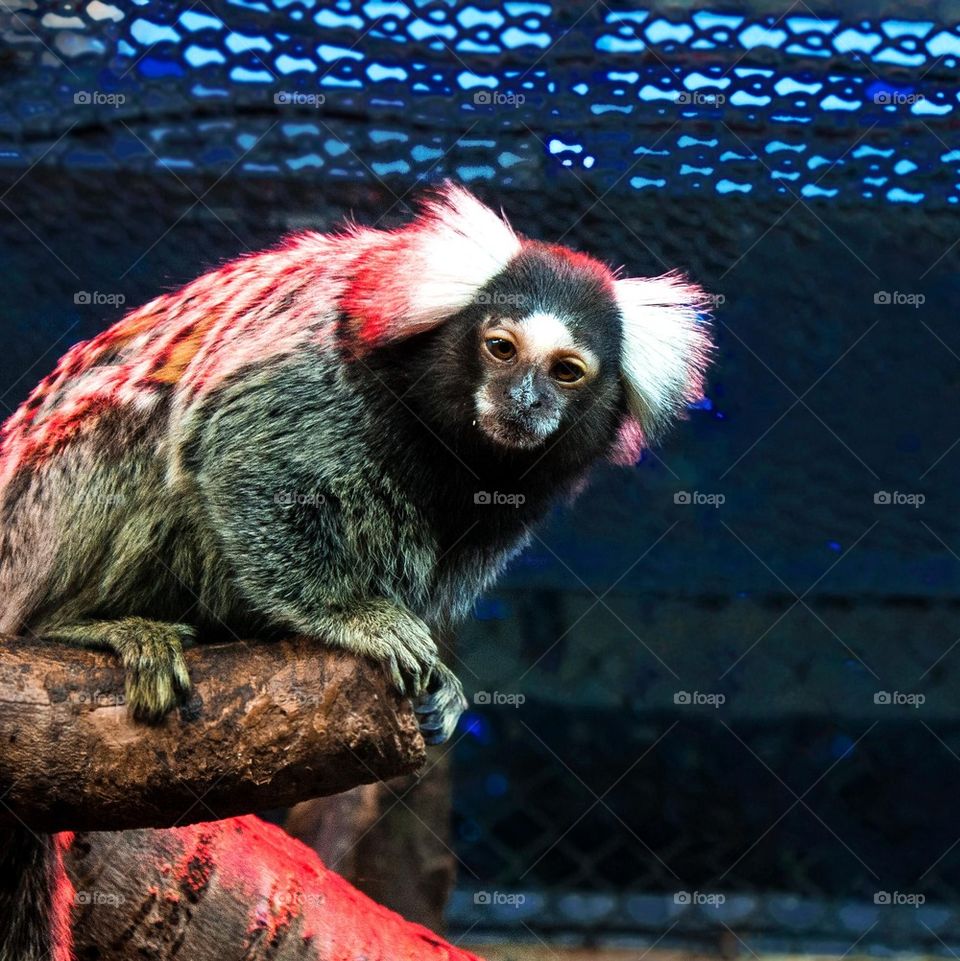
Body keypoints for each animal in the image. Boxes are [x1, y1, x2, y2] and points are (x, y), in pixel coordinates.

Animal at [0, 184, 712, 959]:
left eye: (565, 370)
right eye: (501, 348)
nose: (523, 402)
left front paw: (444, 688)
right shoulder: (312, 365)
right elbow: (234, 445)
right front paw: (354, 616)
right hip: (41, 513)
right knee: (150, 426)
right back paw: (85, 623)